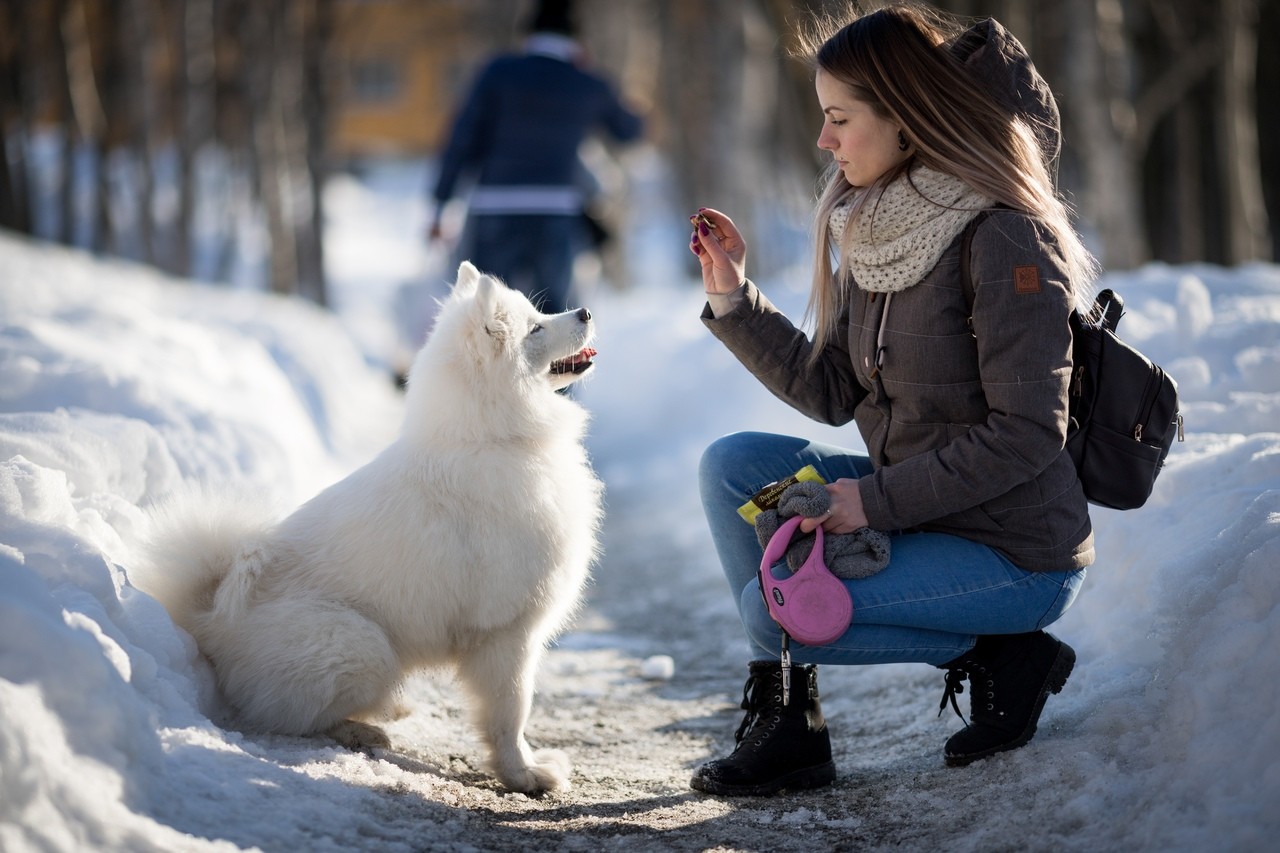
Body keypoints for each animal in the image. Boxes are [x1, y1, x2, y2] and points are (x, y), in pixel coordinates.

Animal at [135, 262, 604, 794]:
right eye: (536, 329)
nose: (586, 311)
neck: (492, 440)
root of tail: (207, 616)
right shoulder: (507, 633)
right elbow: (511, 714)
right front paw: (525, 774)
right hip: (363, 646)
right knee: (292, 721)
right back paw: (363, 728)